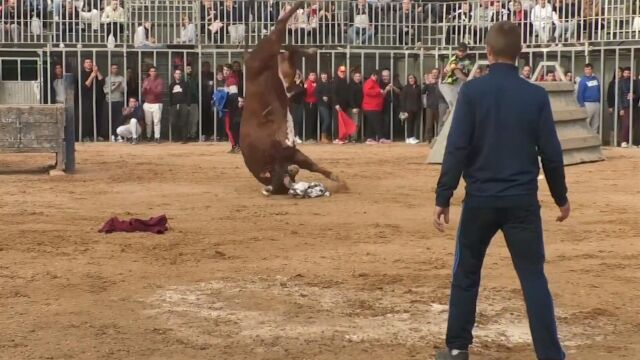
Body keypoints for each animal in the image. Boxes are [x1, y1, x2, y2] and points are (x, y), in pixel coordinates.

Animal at [240, 1, 342, 195]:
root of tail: (248, 59)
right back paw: (309, 52)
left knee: (281, 26)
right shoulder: (292, 153)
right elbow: (312, 165)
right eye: (285, 181)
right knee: (290, 51)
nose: (293, 173)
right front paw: (337, 178)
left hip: (269, 47)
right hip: (281, 67)